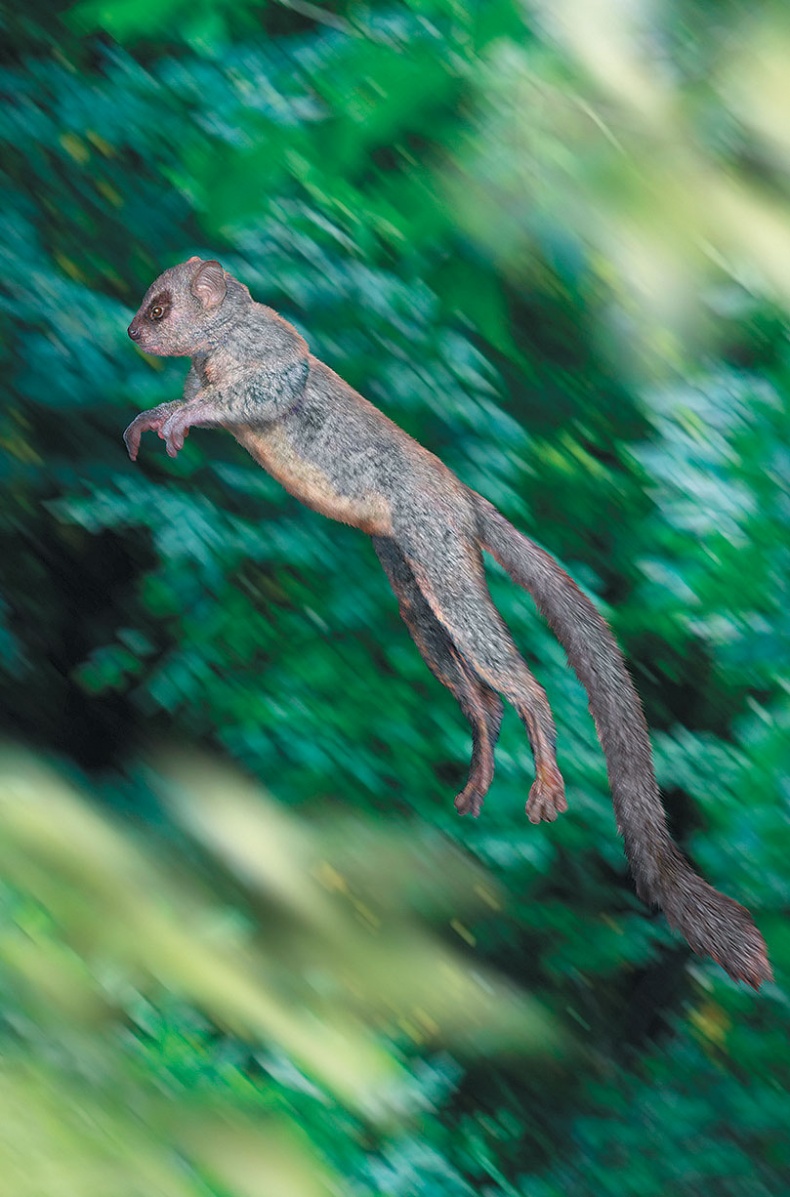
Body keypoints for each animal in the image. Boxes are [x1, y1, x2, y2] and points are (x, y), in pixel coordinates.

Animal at [123, 256, 772, 988]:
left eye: (159, 309)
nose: (132, 333)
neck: (215, 350)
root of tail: (463, 496)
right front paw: (158, 417)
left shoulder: (269, 348)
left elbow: (270, 388)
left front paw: (186, 413)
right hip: (408, 571)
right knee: (474, 689)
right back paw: (480, 769)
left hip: (438, 549)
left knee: (514, 674)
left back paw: (543, 773)